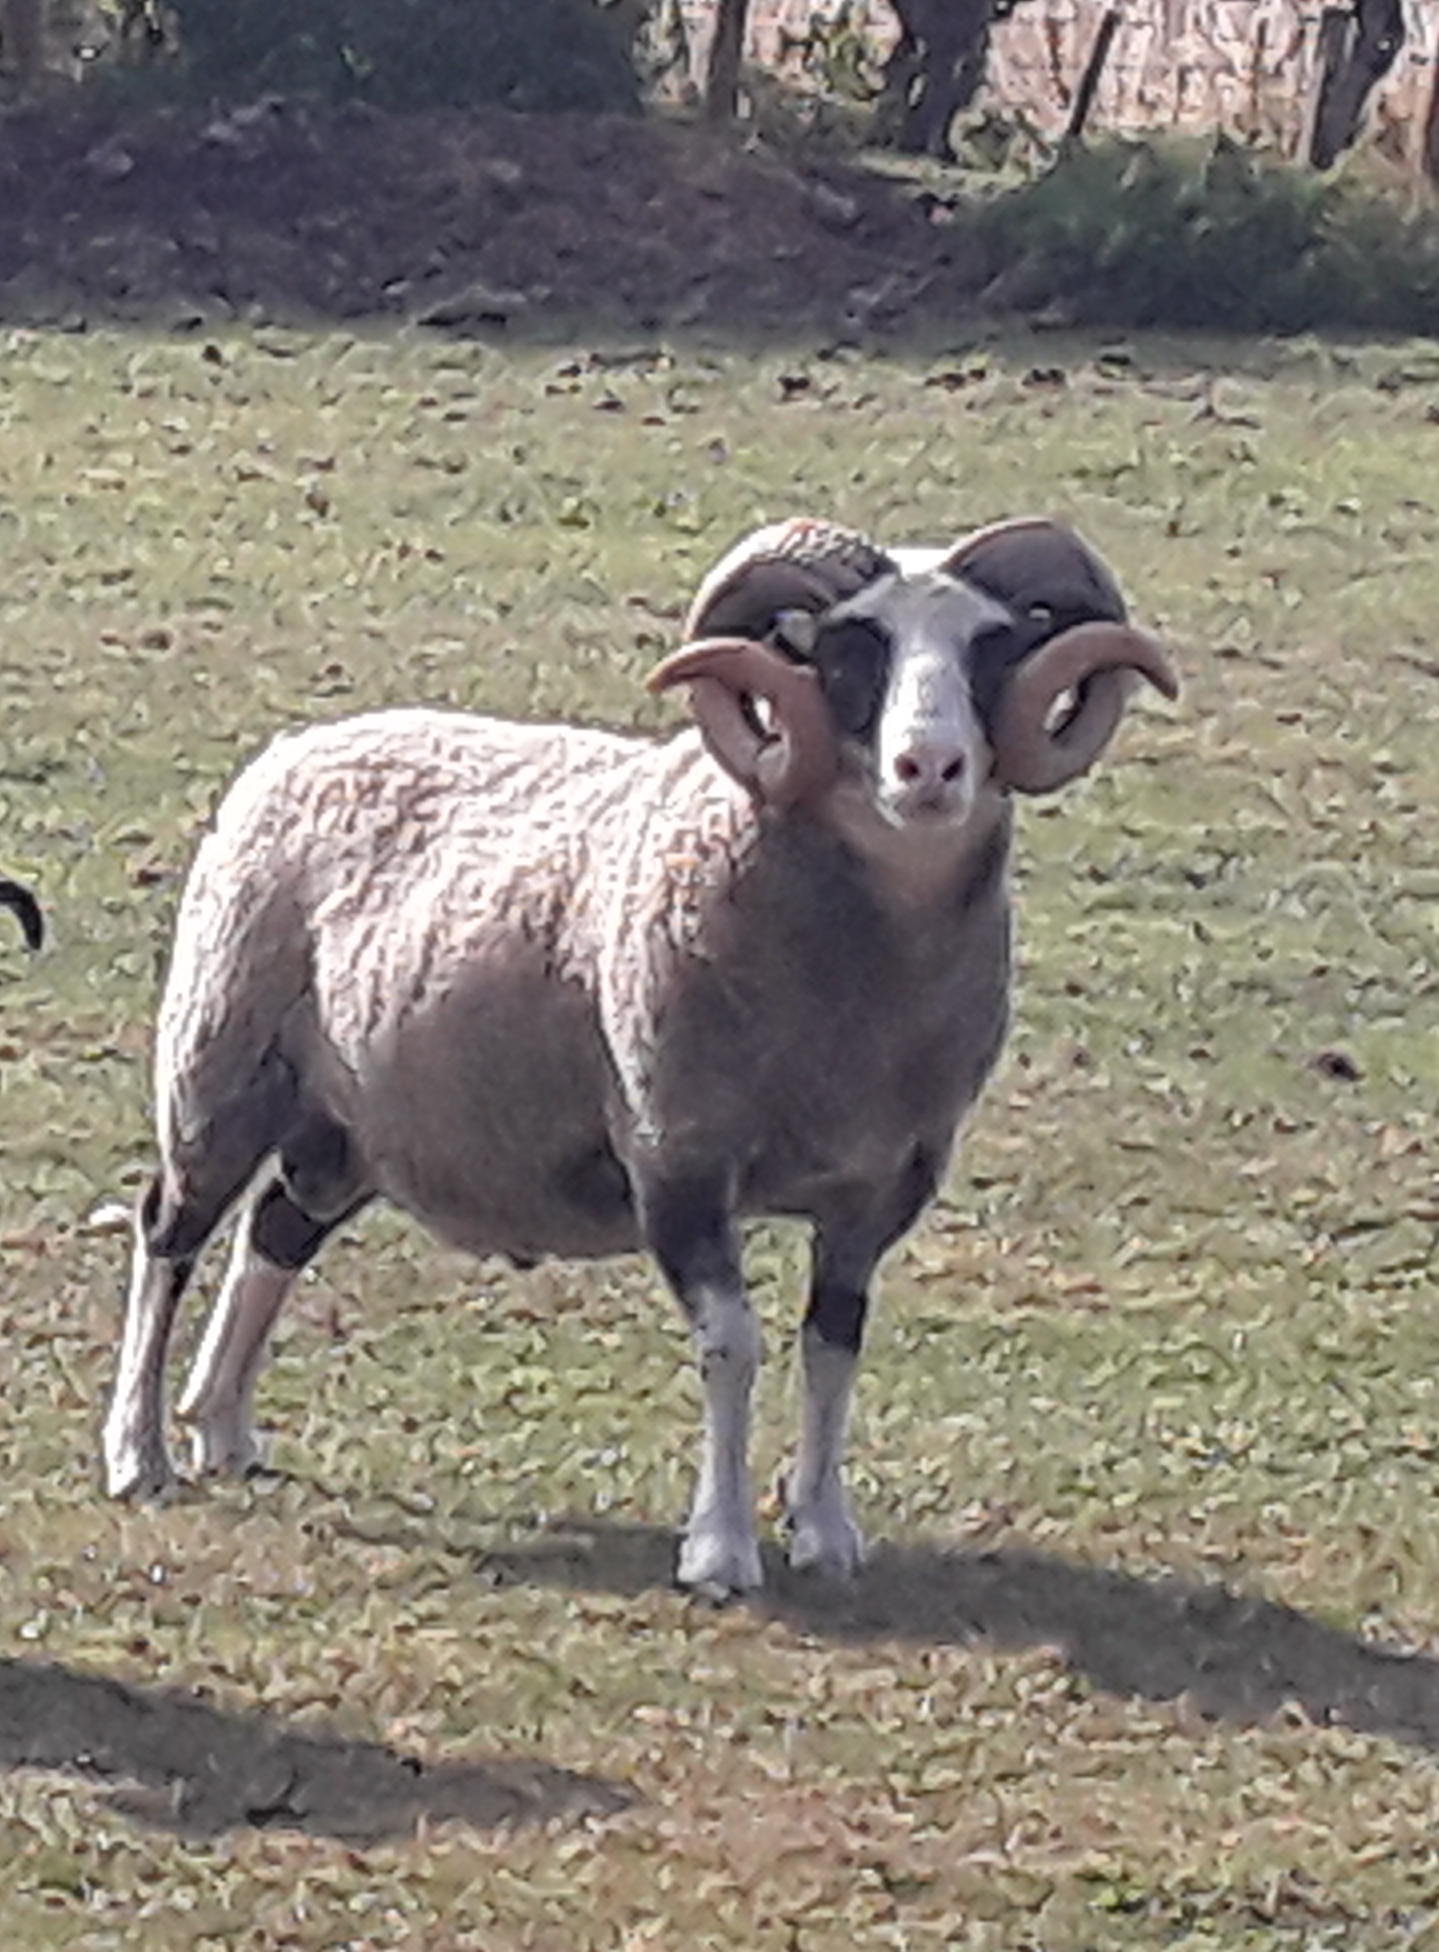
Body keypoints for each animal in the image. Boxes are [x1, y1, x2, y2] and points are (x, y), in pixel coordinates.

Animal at [101, 515, 1176, 1596]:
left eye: (992, 646)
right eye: (845, 653)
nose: (929, 768)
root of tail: (295, 747)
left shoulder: (877, 1193)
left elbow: (832, 1347)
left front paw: (825, 1530)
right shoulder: (676, 1159)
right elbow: (731, 1346)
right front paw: (719, 1551)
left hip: (346, 1129)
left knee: (275, 1228)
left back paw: (222, 1427)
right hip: (219, 1062)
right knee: (170, 1231)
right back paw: (138, 1453)